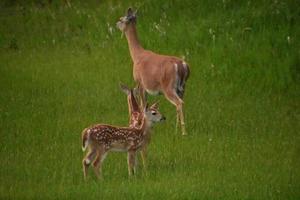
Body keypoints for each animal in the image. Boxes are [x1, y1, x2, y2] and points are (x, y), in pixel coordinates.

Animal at [116, 8, 190, 136]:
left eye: (121, 19)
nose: (116, 23)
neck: (137, 55)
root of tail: (182, 66)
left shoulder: (140, 82)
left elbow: (142, 105)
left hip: (168, 87)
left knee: (179, 103)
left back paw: (183, 132)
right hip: (182, 87)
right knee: (180, 103)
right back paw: (176, 129)